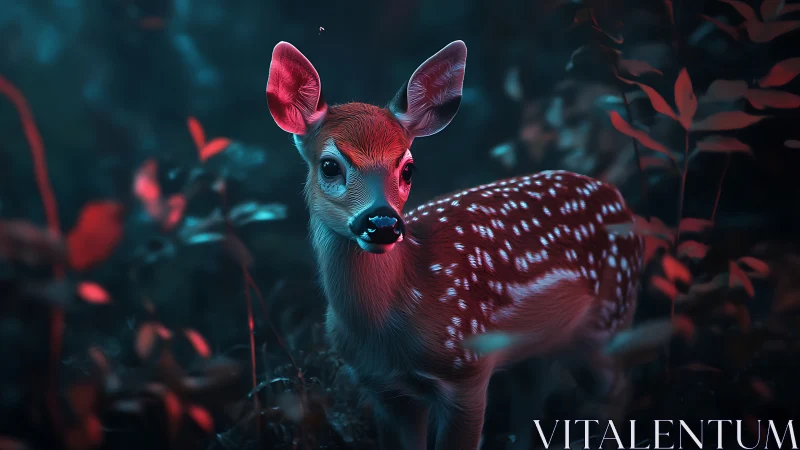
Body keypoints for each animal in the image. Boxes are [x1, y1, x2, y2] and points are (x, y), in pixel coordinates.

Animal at [265, 39, 644, 450]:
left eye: (408, 168)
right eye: (330, 165)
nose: (382, 223)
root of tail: (619, 198)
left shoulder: (467, 368)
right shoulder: (382, 388)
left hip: (610, 321)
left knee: (619, 392)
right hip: (539, 347)